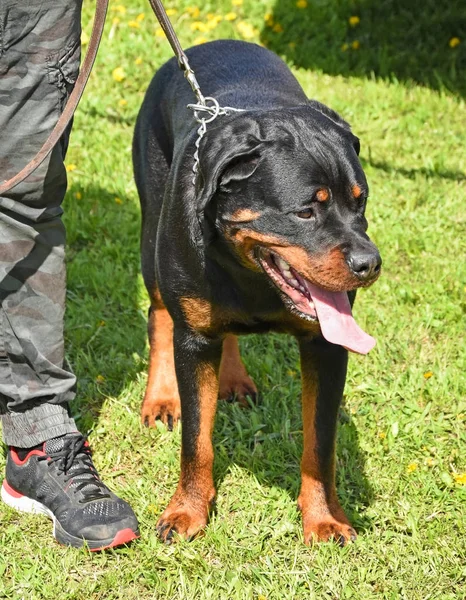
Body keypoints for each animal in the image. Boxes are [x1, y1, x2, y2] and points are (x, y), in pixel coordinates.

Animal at [133, 37, 380, 544]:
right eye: (306, 211)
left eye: (360, 200)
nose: (370, 264)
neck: (250, 276)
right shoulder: (195, 340)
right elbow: (196, 438)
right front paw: (186, 512)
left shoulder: (326, 346)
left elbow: (320, 443)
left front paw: (324, 519)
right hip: (152, 238)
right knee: (159, 313)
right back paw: (160, 397)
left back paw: (232, 379)